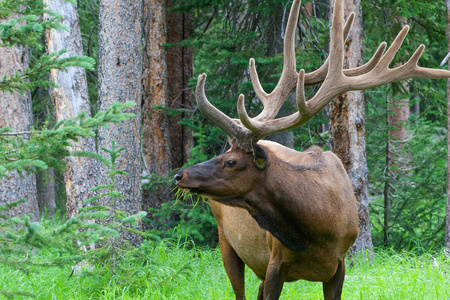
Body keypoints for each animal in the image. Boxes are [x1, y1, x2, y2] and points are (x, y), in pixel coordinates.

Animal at [173, 0, 450, 298]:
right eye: (224, 154)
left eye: (231, 161)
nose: (180, 175)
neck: (316, 233)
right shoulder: (275, 263)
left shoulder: (339, 266)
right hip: (226, 240)